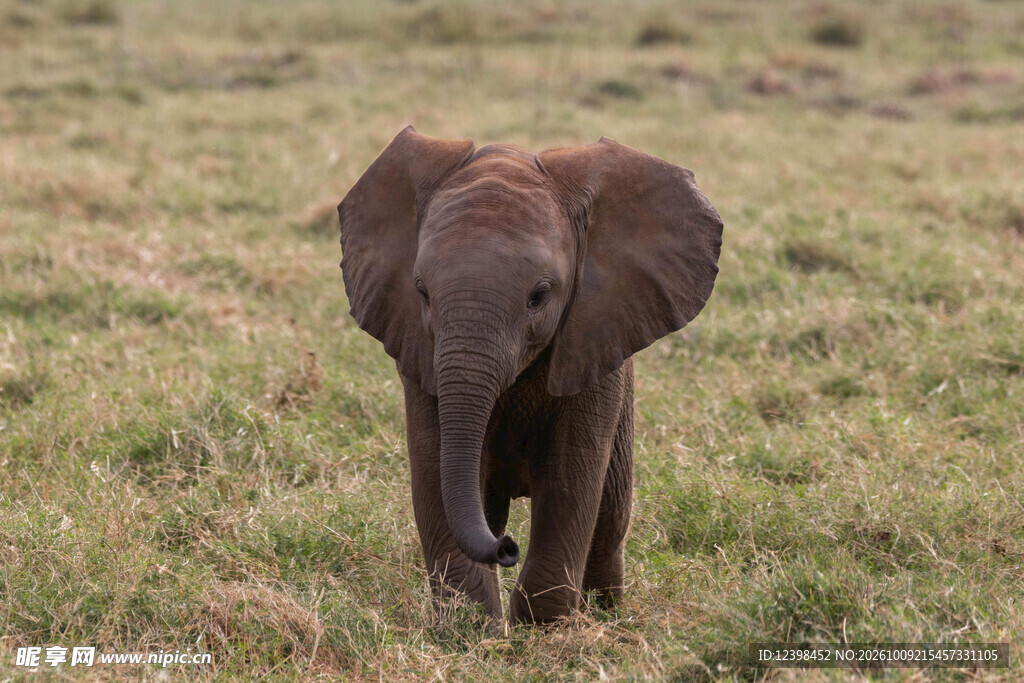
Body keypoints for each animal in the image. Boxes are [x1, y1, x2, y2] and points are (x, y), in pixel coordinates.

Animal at [337, 126, 722, 624]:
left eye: (539, 296)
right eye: (421, 292)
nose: (507, 548)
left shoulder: (595, 346)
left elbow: (570, 479)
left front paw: (541, 628)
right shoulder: (419, 351)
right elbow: (433, 469)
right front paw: (470, 627)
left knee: (610, 517)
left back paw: (605, 613)